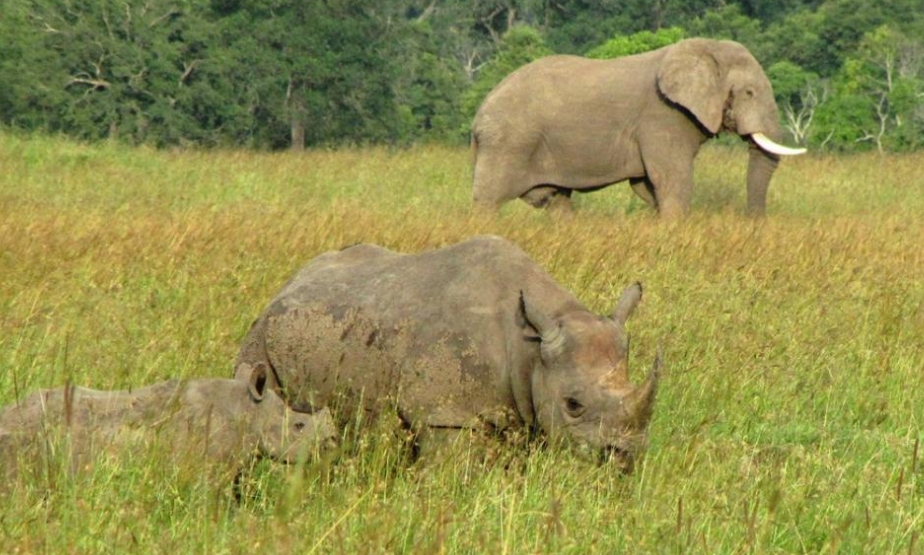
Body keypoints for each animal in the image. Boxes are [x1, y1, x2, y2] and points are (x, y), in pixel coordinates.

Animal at [471, 38, 806, 217]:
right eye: (749, 93)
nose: (756, 225)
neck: (704, 50)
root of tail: (477, 117)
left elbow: (647, 186)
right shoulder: (663, 117)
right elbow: (673, 180)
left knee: (558, 203)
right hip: (507, 143)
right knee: (486, 201)